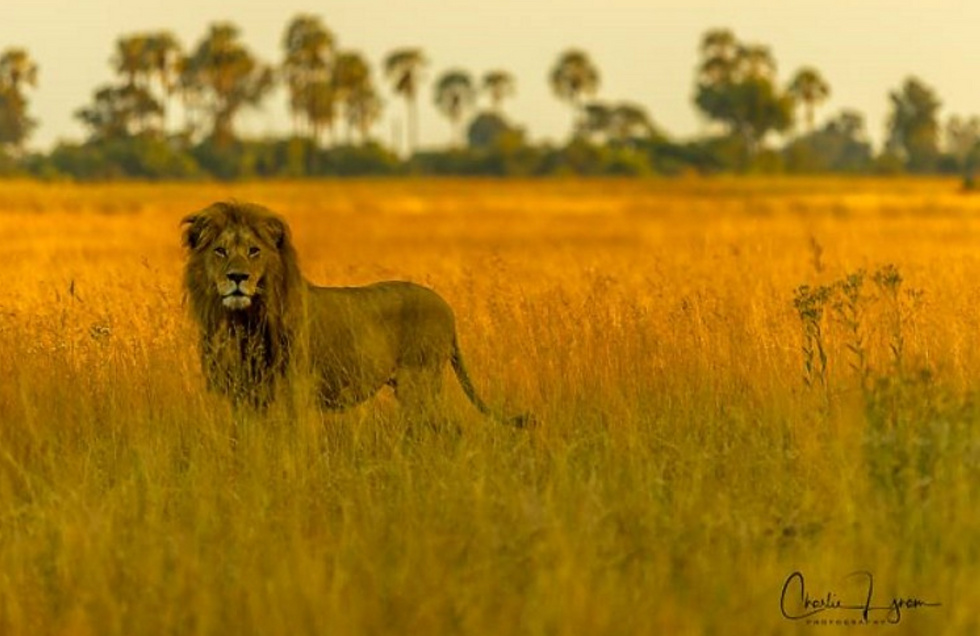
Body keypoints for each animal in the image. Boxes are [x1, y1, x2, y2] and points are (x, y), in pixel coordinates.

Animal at [181, 200, 527, 427]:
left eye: (254, 251)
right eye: (220, 251)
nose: (237, 277)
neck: (243, 320)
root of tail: (447, 306)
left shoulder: (296, 388)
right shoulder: (243, 394)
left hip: (419, 382)